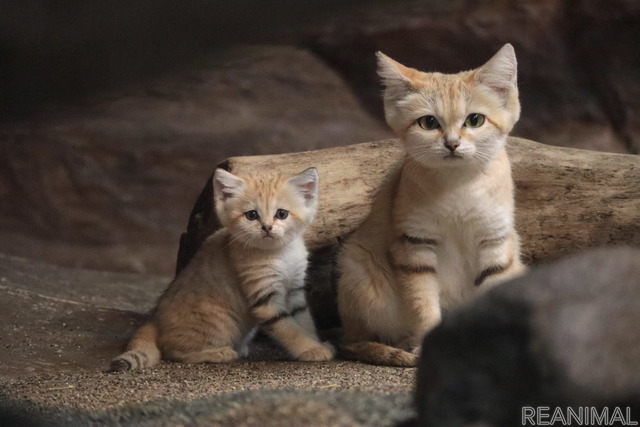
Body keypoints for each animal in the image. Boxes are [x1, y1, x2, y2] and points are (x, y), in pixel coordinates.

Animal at [109, 167, 336, 372]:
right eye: (251, 215)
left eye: (282, 214)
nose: (267, 227)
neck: (281, 253)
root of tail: (154, 320)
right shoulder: (265, 300)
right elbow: (291, 330)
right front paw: (311, 350)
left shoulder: (295, 292)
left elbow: (305, 323)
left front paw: (316, 343)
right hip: (220, 322)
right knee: (174, 351)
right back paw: (218, 353)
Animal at [336, 44, 524, 368]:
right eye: (429, 123)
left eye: (475, 120)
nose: (451, 144)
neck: (460, 187)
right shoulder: (416, 245)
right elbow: (423, 305)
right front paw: (425, 346)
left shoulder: (496, 242)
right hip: (358, 270)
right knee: (354, 342)